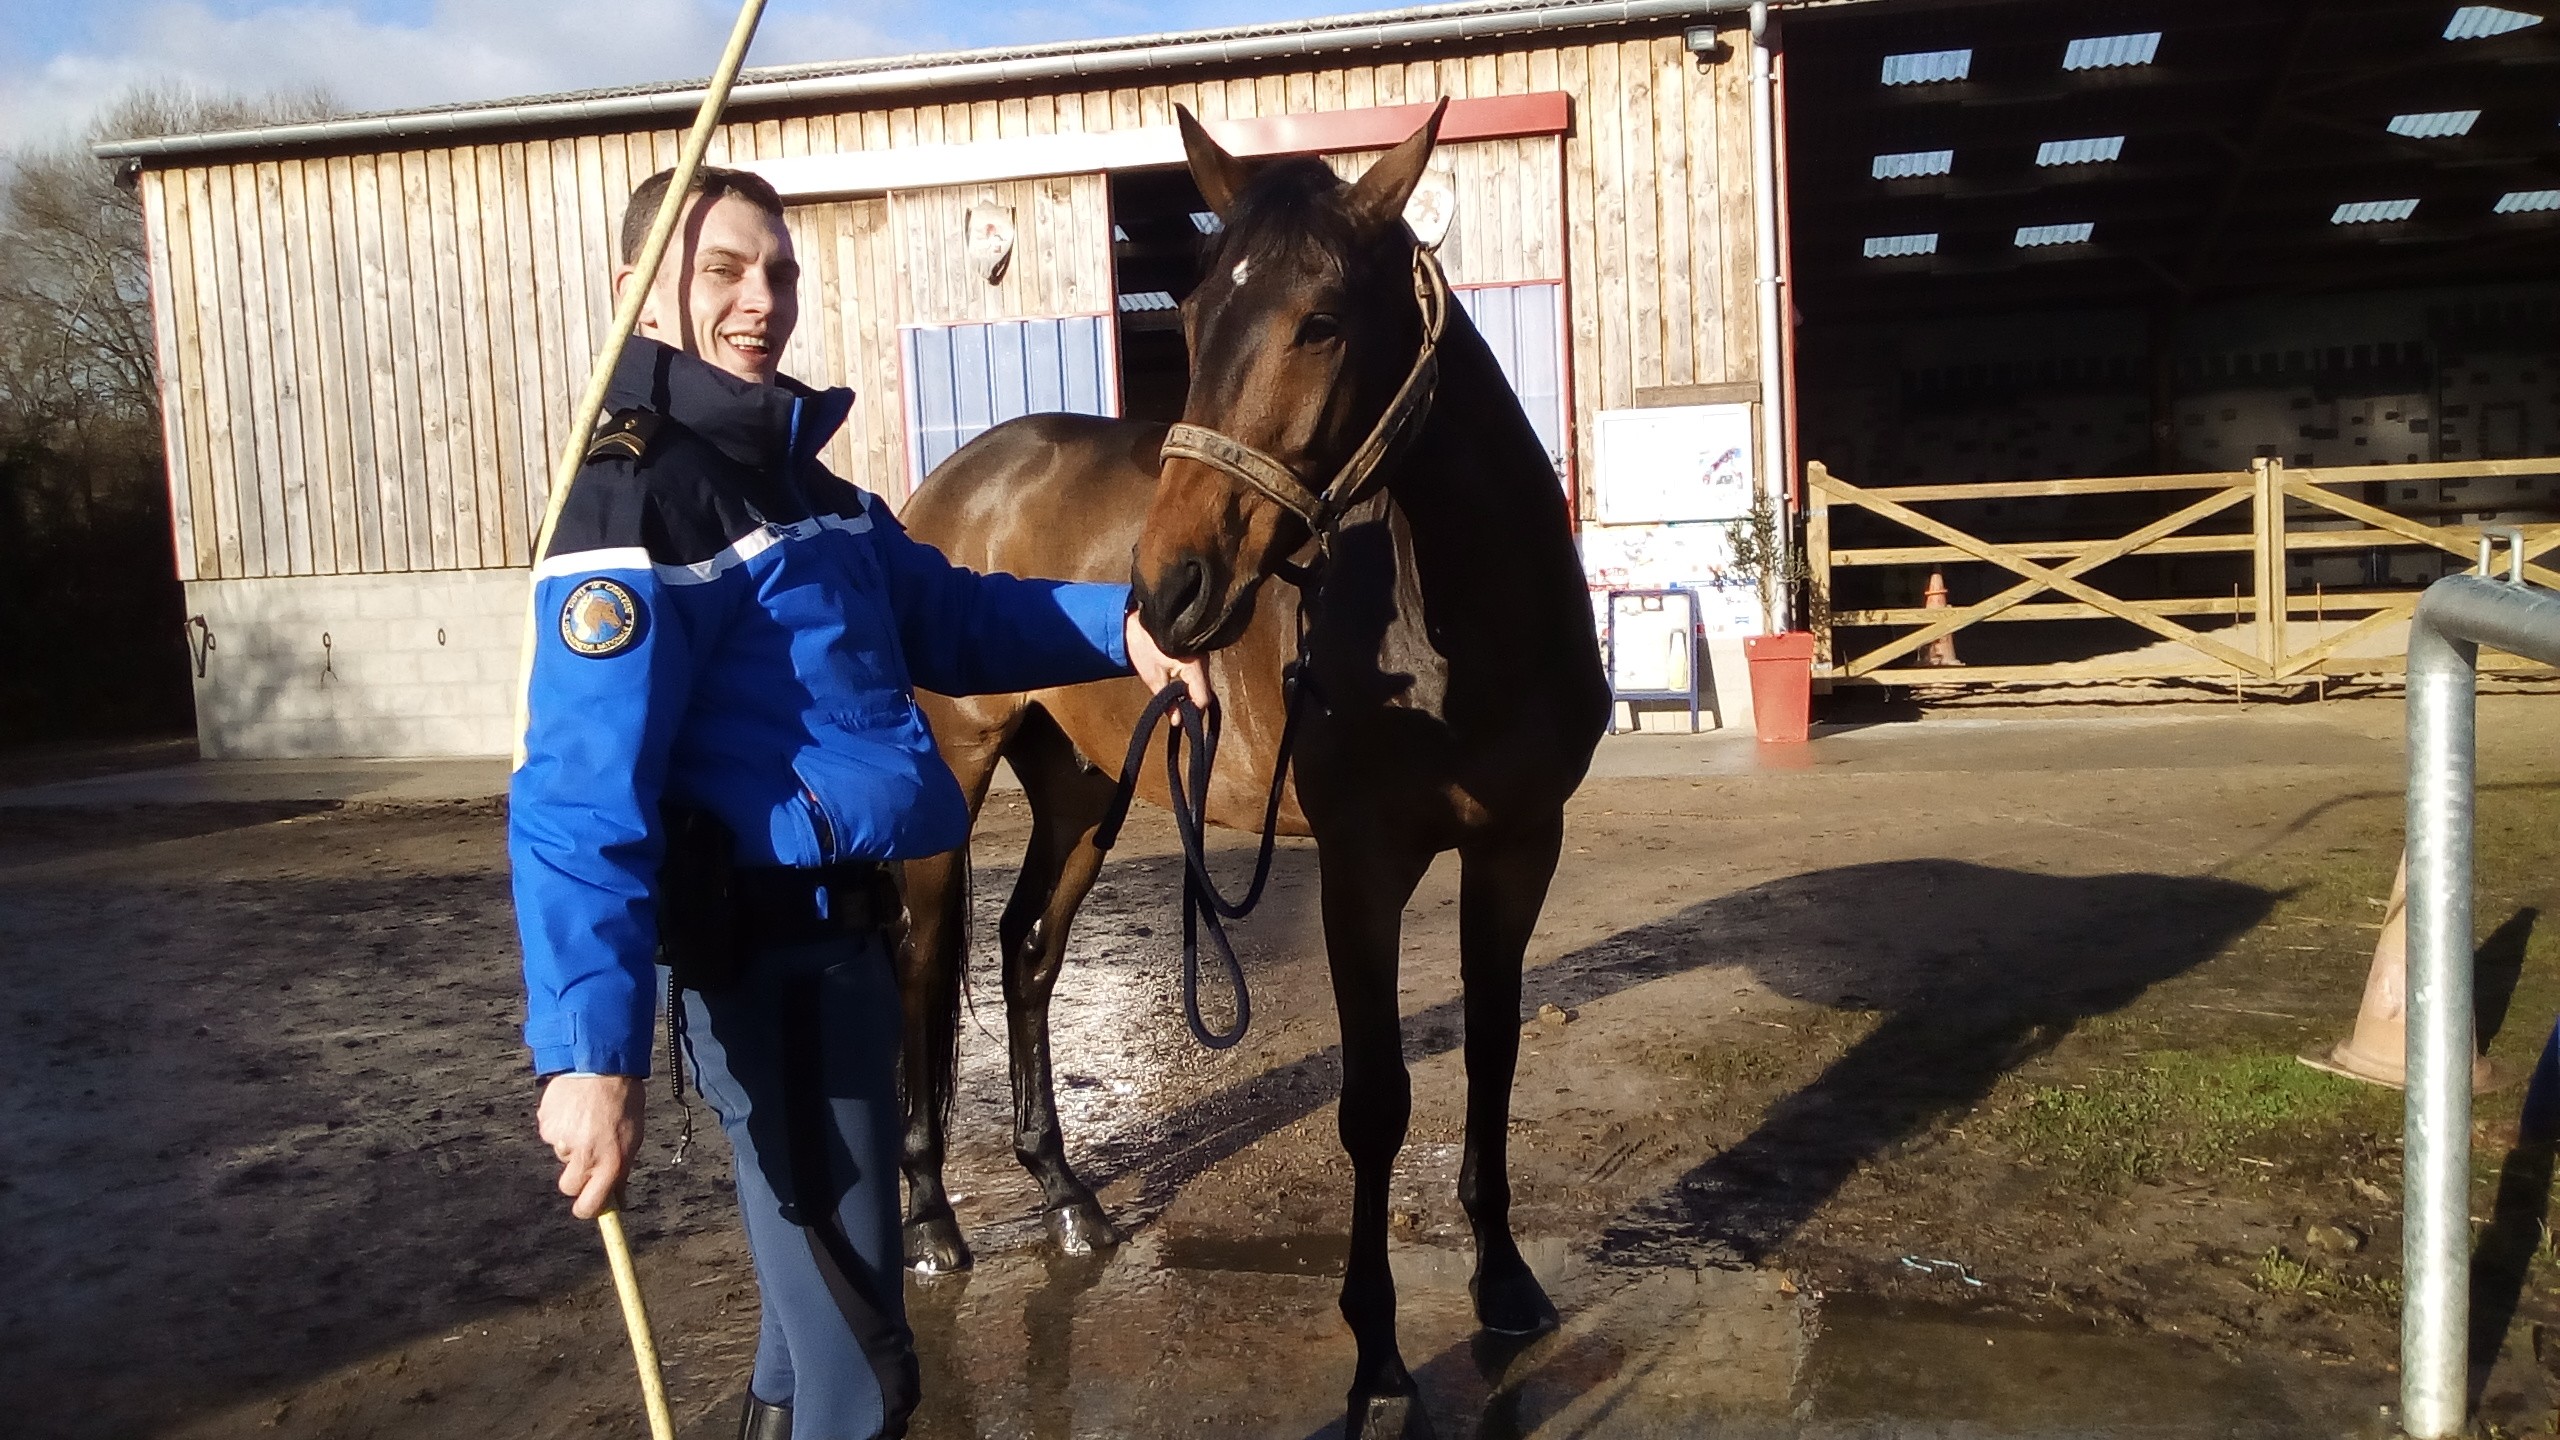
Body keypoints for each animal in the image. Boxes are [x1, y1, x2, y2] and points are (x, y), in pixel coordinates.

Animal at [890, 106, 1597, 1424]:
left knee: (1026, 951)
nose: (1165, 594)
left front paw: (1505, 1283)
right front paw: (1377, 1359)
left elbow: (1493, 1054)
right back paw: (929, 1226)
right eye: (1190, 318)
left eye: (1320, 323)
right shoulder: (1363, 872)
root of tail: (952, 486)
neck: (1459, 632)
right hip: (951, 779)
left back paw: (1066, 1200)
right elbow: (1375, 1106)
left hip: (1085, 785)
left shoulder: (1519, 848)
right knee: (917, 975)